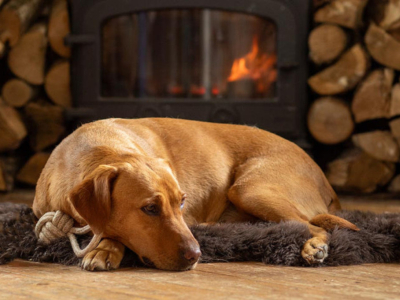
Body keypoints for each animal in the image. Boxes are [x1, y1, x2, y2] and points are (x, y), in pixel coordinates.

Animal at [32, 118, 358, 272]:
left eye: (182, 202)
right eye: (150, 209)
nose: (196, 255)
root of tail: (324, 179)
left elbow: (110, 232)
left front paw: (103, 249)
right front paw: (104, 248)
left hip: (249, 189)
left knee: (313, 225)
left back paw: (314, 247)